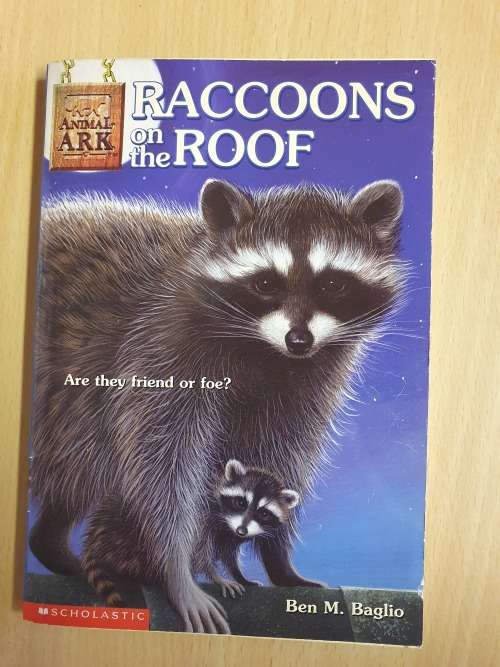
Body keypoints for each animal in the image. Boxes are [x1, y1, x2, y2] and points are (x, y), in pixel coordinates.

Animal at [82, 459, 300, 606]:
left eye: (263, 513)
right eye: (240, 502)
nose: (242, 529)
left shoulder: (229, 534)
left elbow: (228, 554)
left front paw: (239, 575)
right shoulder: (200, 517)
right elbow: (197, 550)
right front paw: (216, 576)